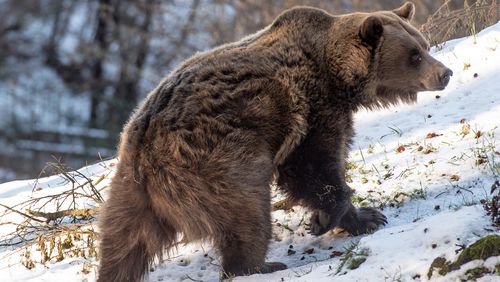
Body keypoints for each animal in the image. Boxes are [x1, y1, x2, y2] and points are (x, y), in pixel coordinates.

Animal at [96, 2, 454, 282]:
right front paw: (335, 218)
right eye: (414, 56)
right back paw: (259, 265)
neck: (340, 78)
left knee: (122, 242)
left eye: (424, 44)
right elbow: (314, 167)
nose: (445, 73)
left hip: (129, 191)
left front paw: (359, 217)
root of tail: (145, 150)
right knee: (247, 212)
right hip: (214, 162)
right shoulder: (312, 110)